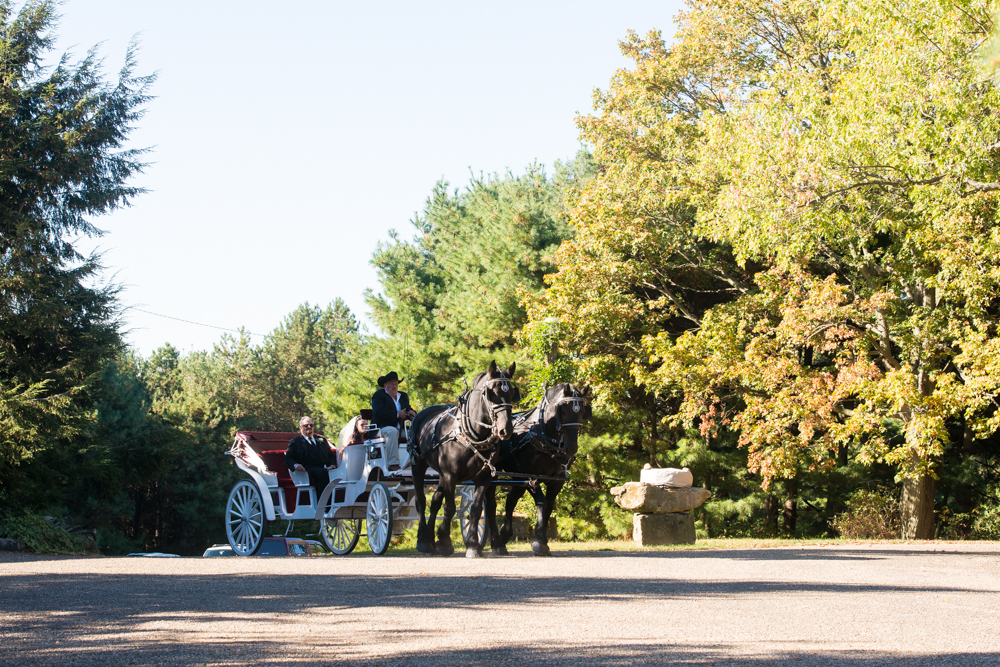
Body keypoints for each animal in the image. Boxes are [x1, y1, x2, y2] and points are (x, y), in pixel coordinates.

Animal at [406, 360, 520, 560]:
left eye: (511, 392)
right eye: (491, 393)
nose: (505, 429)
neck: (472, 435)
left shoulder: (484, 477)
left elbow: (475, 509)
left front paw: (473, 545)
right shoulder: (450, 476)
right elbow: (449, 508)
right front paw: (444, 542)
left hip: (441, 475)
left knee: (435, 501)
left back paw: (430, 538)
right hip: (418, 466)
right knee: (421, 502)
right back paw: (423, 540)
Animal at [486, 384, 592, 556]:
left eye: (582, 411)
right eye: (563, 411)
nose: (571, 448)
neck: (542, 435)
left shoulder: (557, 481)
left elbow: (549, 506)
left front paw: (543, 539)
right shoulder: (531, 477)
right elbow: (542, 502)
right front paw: (539, 542)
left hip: (517, 477)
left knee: (510, 500)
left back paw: (504, 535)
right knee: (490, 504)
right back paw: (497, 543)